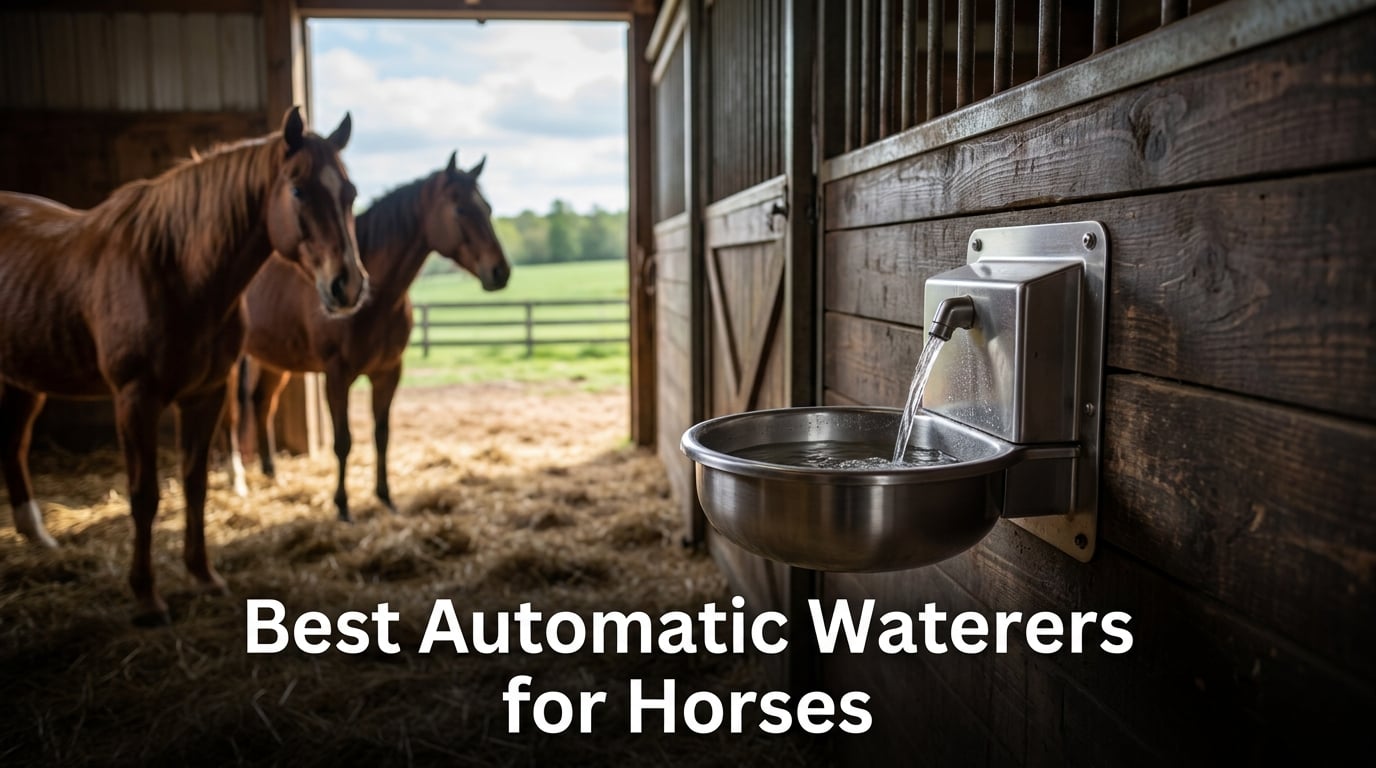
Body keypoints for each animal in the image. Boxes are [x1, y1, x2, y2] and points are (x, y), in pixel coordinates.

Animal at [0, 107, 368, 624]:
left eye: (349, 193)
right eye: (297, 190)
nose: (347, 285)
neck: (176, 271)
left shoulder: (205, 394)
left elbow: (195, 484)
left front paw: (203, 575)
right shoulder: (136, 400)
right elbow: (145, 495)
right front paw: (146, 596)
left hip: (23, 379)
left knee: (13, 444)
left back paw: (38, 537)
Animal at [231, 151, 509, 522]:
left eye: (488, 209)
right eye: (461, 209)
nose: (500, 271)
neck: (375, 300)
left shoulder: (388, 372)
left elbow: (382, 435)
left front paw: (386, 497)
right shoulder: (336, 376)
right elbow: (344, 441)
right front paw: (343, 505)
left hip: (275, 360)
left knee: (262, 403)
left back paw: (271, 471)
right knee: (235, 416)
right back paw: (239, 480)